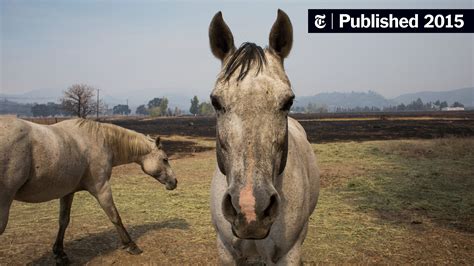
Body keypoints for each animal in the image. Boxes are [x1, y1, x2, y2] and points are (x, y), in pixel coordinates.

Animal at [0, 118, 178, 264]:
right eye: (165, 159)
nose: (174, 182)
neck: (101, 141)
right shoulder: (101, 188)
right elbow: (115, 216)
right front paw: (131, 245)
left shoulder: (68, 192)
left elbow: (64, 221)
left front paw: (60, 253)